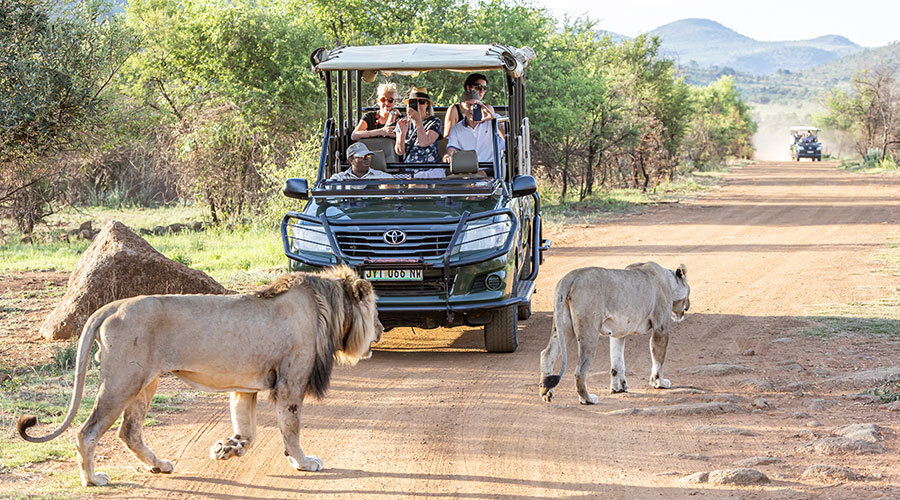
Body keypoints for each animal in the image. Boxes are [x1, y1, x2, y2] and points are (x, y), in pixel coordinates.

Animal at [17, 266, 382, 488]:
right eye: (377, 311)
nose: (379, 330)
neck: (328, 307)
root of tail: (112, 306)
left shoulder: (245, 387)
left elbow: (248, 430)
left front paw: (228, 448)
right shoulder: (290, 382)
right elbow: (291, 428)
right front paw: (303, 463)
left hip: (145, 382)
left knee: (128, 432)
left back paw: (159, 466)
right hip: (123, 380)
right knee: (88, 431)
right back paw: (93, 480)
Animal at [540, 264, 688, 404]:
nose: (687, 307)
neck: (669, 281)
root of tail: (570, 277)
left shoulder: (618, 333)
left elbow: (617, 362)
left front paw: (618, 388)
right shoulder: (661, 328)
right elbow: (658, 360)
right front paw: (660, 383)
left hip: (562, 327)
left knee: (547, 354)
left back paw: (546, 393)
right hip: (590, 331)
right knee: (579, 371)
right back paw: (588, 399)